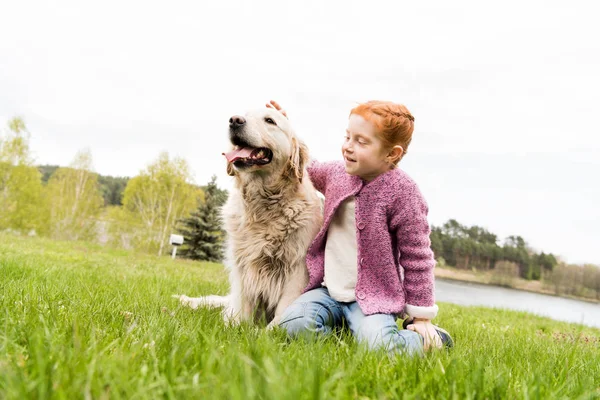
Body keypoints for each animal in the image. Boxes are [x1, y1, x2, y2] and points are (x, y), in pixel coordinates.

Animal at [176, 108, 322, 326]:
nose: (234, 121)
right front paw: (235, 326)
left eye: (270, 120)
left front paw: (270, 330)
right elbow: (241, 307)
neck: (261, 204)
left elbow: (282, 311)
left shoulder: (297, 267)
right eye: (243, 114)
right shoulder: (243, 264)